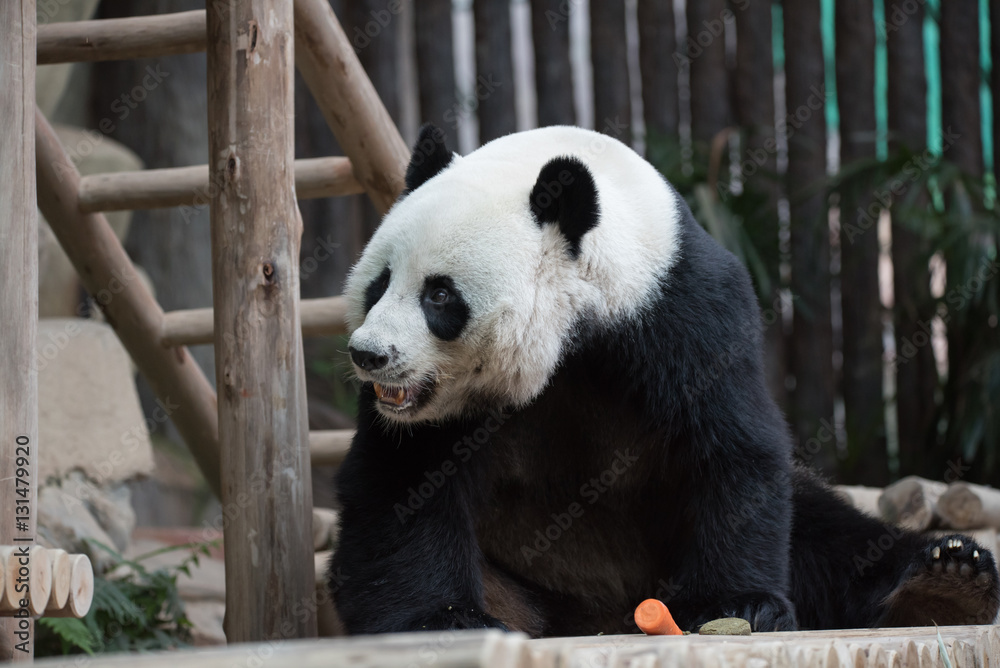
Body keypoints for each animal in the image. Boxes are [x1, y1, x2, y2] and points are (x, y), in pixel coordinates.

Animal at [329, 124, 1000, 636]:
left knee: (829, 532)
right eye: (379, 283)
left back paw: (946, 580)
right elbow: (405, 480)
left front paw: (735, 606)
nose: (369, 355)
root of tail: (604, 618)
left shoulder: (682, 312)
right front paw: (442, 619)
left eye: (439, 295)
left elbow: (731, 449)